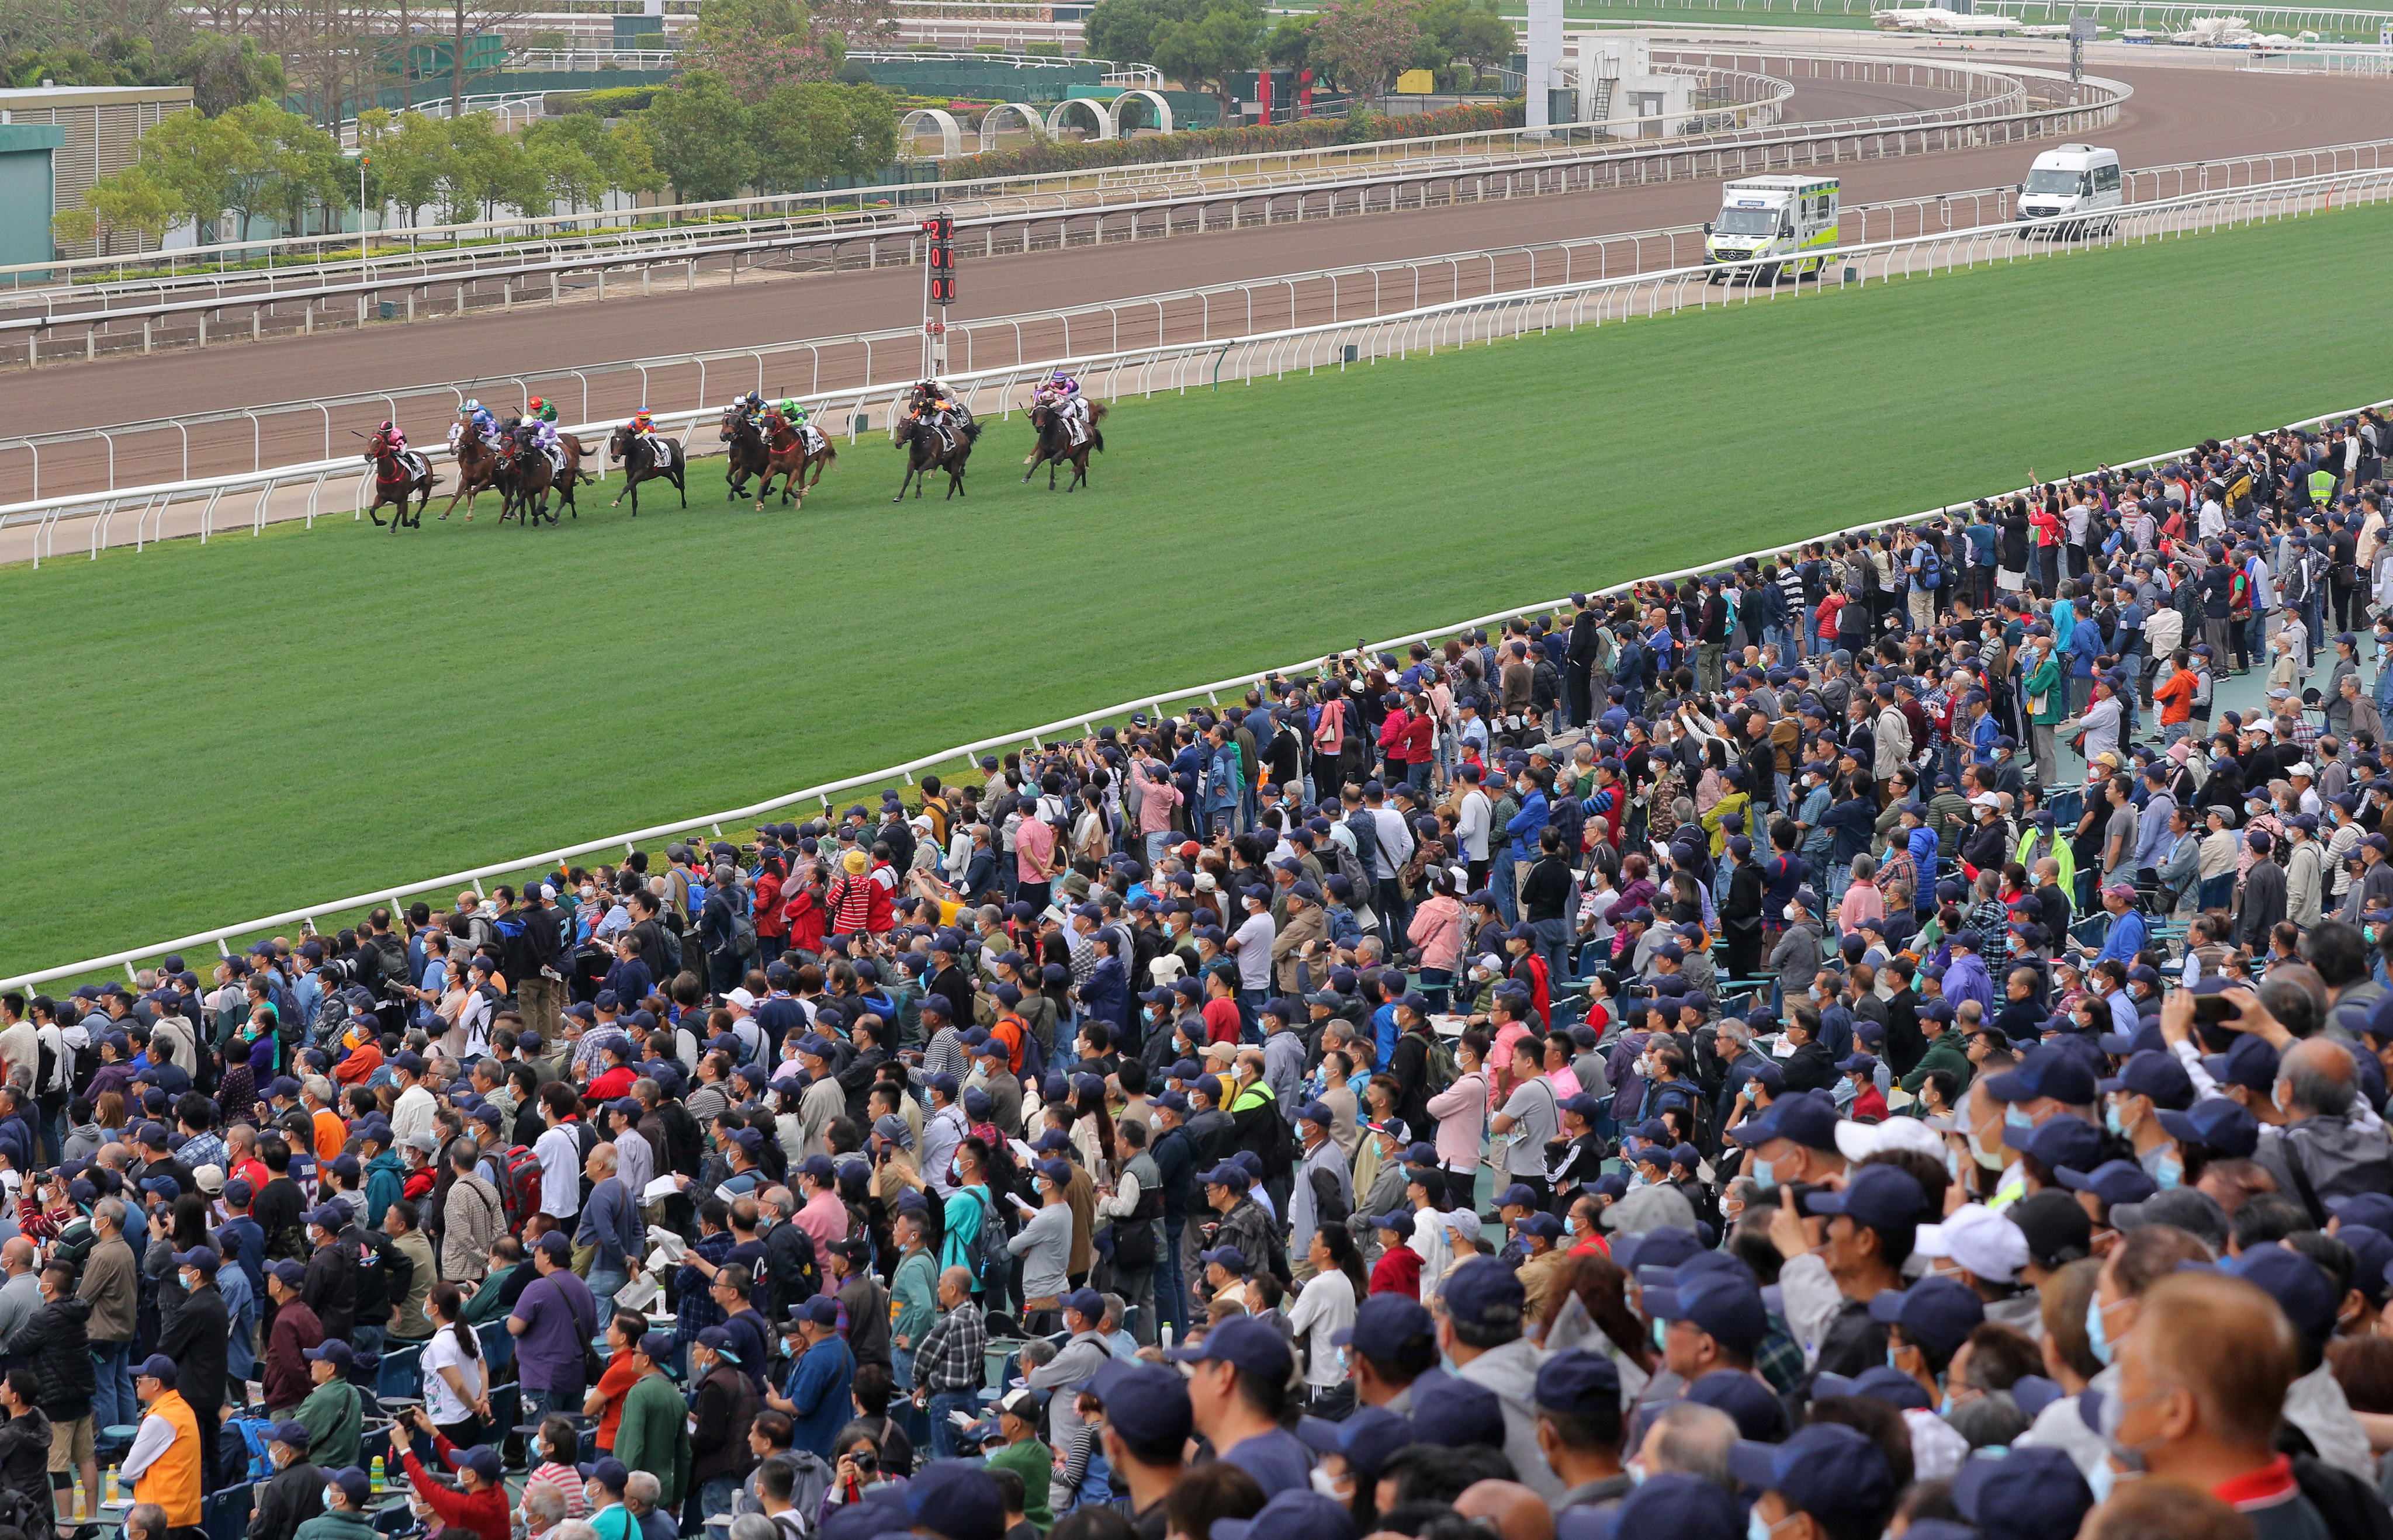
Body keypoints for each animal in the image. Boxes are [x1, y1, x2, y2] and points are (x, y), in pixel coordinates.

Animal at [363, 430, 440, 533]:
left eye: (378, 442)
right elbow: (372, 511)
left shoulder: (403, 497)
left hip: (426, 486)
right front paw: (381, 522)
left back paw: (415, 519)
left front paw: (414, 522)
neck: (389, 475)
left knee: (423, 503)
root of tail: (422, 455)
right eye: (369, 442)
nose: (367, 455)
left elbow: (405, 521)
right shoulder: (382, 496)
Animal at [602, 423, 689, 514]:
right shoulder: (630, 477)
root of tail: (675, 442)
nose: (614, 457)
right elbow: (632, 493)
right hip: (666, 472)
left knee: (682, 486)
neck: (637, 453)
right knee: (677, 485)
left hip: (679, 470)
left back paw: (684, 504)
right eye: (614, 441)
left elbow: (626, 488)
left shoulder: (640, 474)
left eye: (623, 441)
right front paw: (634, 514)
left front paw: (616, 502)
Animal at [761, 408, 847, 511]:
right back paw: (798, 504)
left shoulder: (795, 470)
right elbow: (764, 480)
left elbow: (788, 487)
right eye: (762, 422)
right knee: (802, 484)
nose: (764, 437)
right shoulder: (775, 468)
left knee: (815, 479)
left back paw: (805, 491)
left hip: (822, 458)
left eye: (774, 422)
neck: (784, 446)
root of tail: (822, 431)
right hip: (803, 469)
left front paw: (797, 494)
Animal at [895, 406, 976, 502]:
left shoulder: (932, 462)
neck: (922, 440)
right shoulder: (912, 462)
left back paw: (948, 498)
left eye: (907, 429)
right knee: (957, 475)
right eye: (898, 428)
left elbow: (920, 471)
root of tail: (964, 436)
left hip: (957, 460)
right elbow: (907, 480)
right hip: (947, 465)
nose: (898, 444)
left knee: (953, 479)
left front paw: (918, 493)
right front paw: (899, 497)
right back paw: (962, 493)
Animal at [1024, 394, 1105, 490]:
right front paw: (1026, 478)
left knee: (1080, 469)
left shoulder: (1062, 451)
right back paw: (1083, 485)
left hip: (1083, 452)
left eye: (1046, 413)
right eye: (1036, 413)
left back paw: (1071, 488)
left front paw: (1052, 484)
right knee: (1081, 469)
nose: (1039, 427)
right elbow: (1036, 463)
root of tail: (1092, 429)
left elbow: (1052, 461)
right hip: (1074, 455)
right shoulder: (1043, 451)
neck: (1051, 433)